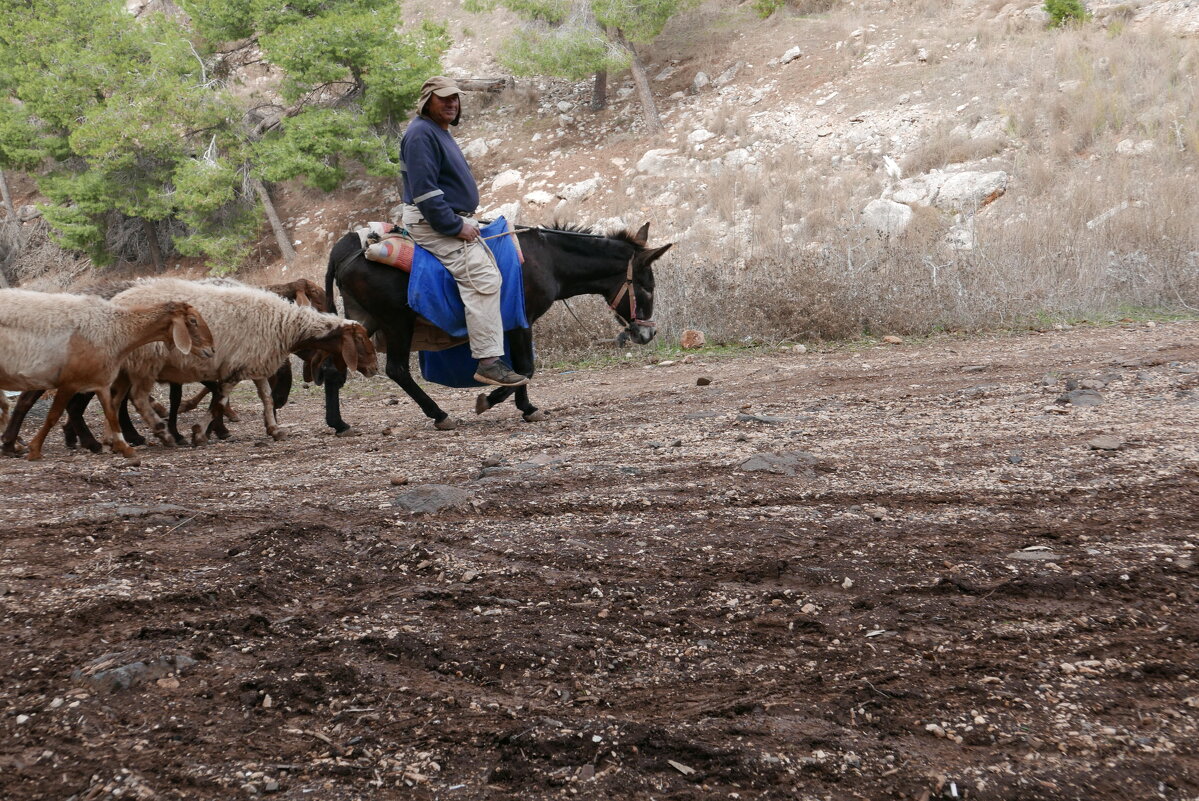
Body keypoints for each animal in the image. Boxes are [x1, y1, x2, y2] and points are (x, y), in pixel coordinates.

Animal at [0, 287, 213, 460]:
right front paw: (35, 450)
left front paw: (121, 446)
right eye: (193, 320)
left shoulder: (101, 381)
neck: (115, 330)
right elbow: (53, 415)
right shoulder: (70, 382)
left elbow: (111, 411)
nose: (211, 350)